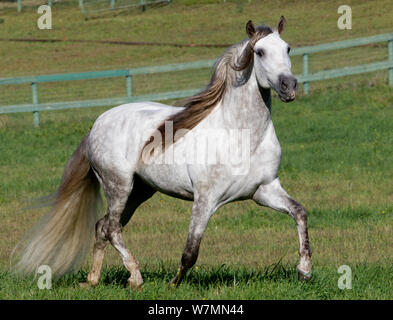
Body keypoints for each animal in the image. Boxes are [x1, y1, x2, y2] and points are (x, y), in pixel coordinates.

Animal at [13, 16, 310, 288]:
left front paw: (304, 271)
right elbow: (191, 251)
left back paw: (94, 279)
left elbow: (300, 212)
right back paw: (135, 277)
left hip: (139, 192)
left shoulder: (264, 190)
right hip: (118, 187)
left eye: (287, 48)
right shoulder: (205, 199)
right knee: (112, 228)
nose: (289, 86)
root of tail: (96, 125)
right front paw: (173, 284)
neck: (241, 136)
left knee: (103, 227)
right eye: (259, 52)